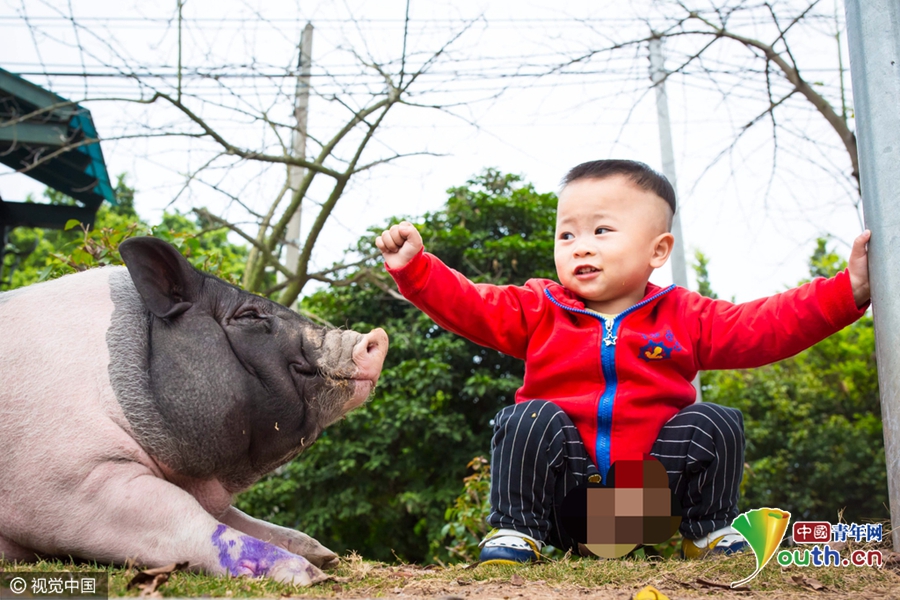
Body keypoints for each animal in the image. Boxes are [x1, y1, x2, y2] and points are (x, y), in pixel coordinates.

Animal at [0, 236, 386, 584]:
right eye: (249, 315)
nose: (377, 336)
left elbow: (234, 515)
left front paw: (326, 556)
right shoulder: (72, 482)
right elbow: (184, 516)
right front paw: (311, 575)